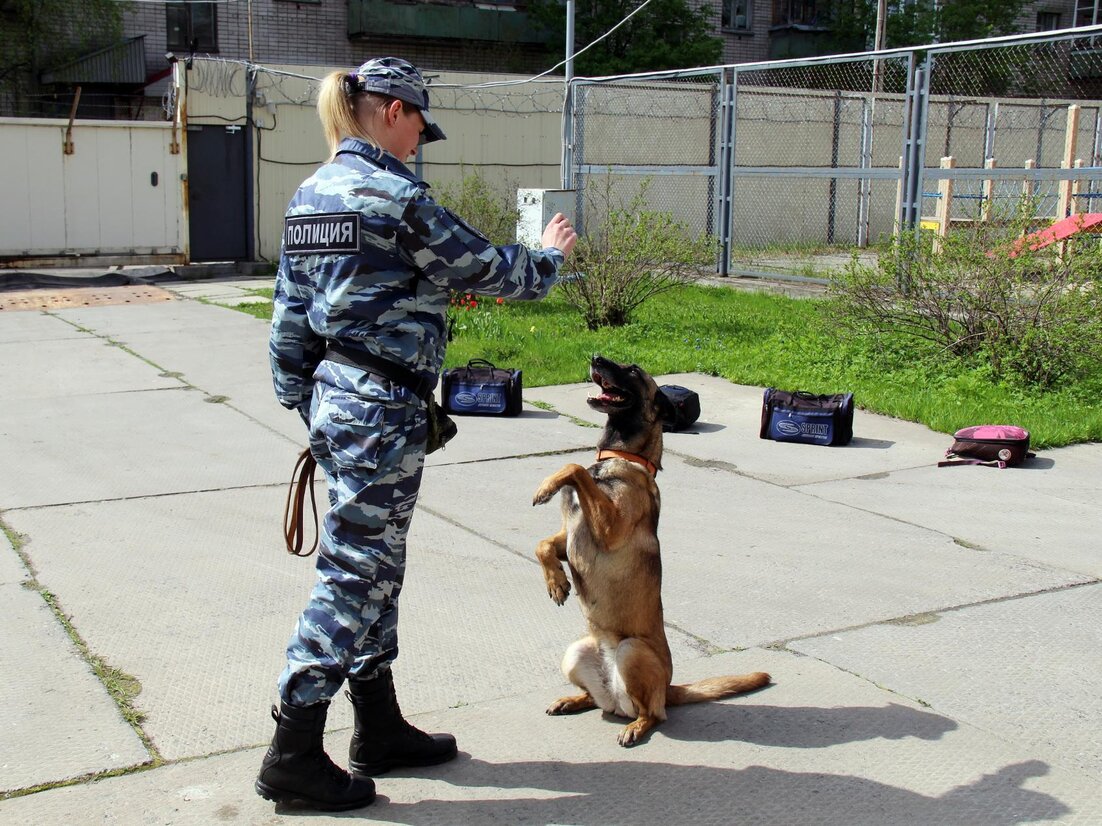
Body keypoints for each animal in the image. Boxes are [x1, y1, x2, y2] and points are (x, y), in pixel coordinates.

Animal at [533, 356, 766, 748]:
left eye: (632, 370)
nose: (595, 357)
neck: (619, 456)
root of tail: (668, 689)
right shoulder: (570, 535)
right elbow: (543, 544)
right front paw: (556, 583)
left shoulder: (608, 529)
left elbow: (574, 468)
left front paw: (547, 485)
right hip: (575, 653)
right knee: (597, 700)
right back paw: (573, 700)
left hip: (632, 652)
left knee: (653, 714)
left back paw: (636, 726)